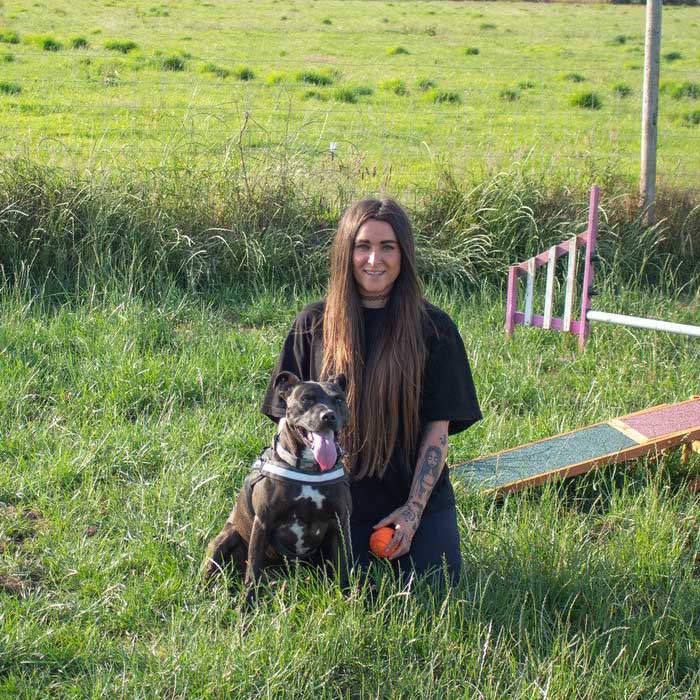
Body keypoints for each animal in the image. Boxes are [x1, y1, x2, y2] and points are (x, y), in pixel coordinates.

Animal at [205, 372, 352, 596]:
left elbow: (342, 566)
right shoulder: (262, 523)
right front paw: (248, 603)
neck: (308, 469)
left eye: (338, 400)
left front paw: (345, 596)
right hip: (223, 539)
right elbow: (253, 570)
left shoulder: (340, 524)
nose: (328, 416)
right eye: (307, 399)